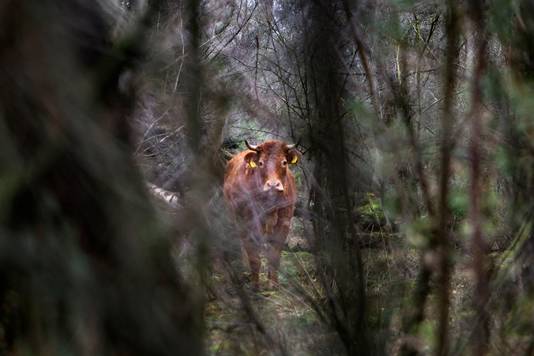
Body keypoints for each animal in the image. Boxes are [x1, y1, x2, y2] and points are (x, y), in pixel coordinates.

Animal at [223, 139, 302, 290]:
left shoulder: (284, 223)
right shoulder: (248, 223)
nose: (273, 185)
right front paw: (255, 285)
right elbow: (254, 257)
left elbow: (274, 255)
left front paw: (273, 285)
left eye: (284, 162)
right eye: (260, 163)